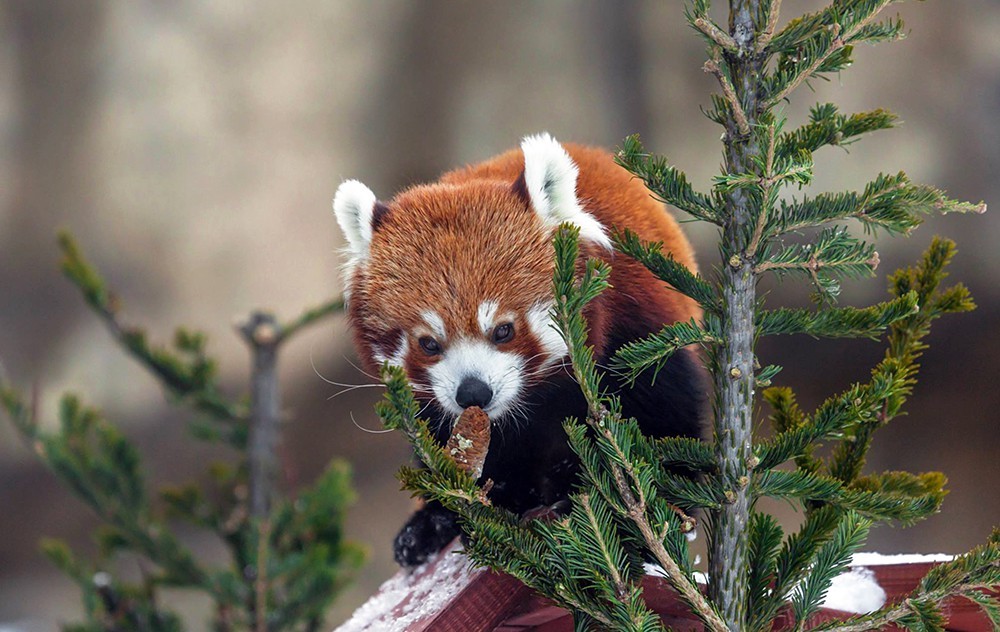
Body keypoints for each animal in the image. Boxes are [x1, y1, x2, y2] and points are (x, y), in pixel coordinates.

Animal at [332, 133, 708, 568]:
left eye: (503, 330)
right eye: (428, 343)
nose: (473, 393)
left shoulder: (637, 341)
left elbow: (662, 426)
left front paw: (640, 518)